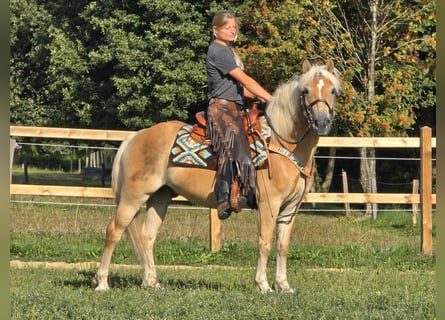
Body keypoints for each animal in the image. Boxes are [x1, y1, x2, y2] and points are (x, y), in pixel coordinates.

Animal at [93, 59, 342, 292]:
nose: (321, 122)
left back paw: (151, 282)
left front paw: (283, 285)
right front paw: (263, 284)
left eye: (332, 90)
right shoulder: (268, 204)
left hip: (160, 196)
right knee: (114, 231)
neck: (281, 143)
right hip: (132, 197)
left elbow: (283, 246)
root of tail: (135, 137)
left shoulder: (290, 209)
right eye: (305, 91)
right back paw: (102, 282)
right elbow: (264, 243)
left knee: (147, 236)